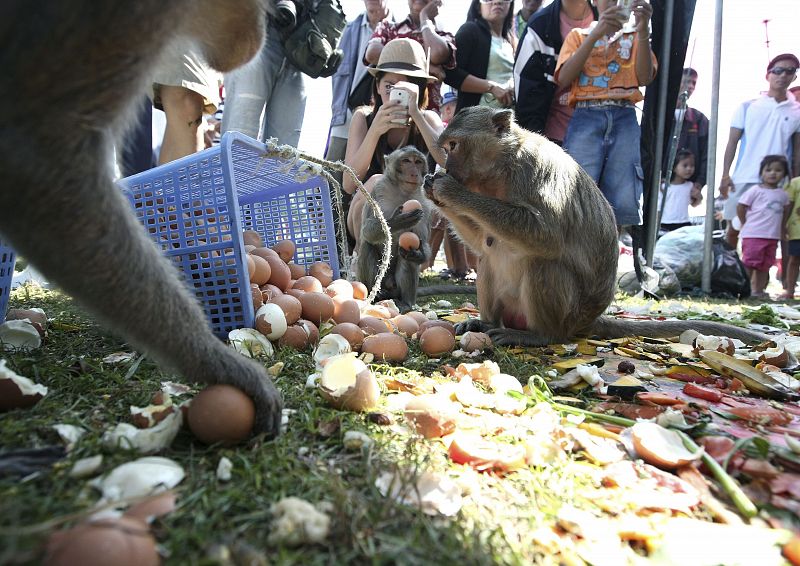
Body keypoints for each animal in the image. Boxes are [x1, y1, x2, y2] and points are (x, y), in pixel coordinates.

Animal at [354, 146, 434, 312]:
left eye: (418, 162)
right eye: (406, 161)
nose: (414, 173)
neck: (403, 192)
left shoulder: (425, 205)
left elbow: (422, 240)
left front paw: (419, 253)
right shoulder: (378, 190)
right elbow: (367, 231)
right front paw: (398, 220)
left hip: (396, 288)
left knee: (407, 257)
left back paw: (405, 302)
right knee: (367, 247)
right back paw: (375, 295)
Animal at [424, 106, 768, 346]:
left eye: (453, 145)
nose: (447, 166)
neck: (501, 167)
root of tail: (585, 323)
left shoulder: (532, 169)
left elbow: (545, 236)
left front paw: (449, 191)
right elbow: (484, 242)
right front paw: (434, 191)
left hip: (568, 315)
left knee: (545, 264)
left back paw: (541, 335)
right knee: (488, 259)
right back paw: (486, 323)